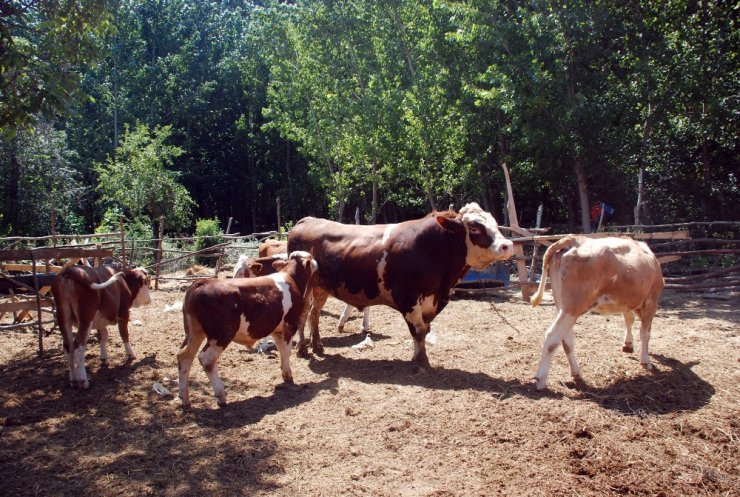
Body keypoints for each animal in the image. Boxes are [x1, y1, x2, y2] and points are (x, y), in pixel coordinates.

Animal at [180, 250, 320, 404]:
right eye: (310, 258)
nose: (317, 262)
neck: (291, 278)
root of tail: (202, 282)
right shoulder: (290, 324)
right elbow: (287, 350)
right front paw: (288, 375)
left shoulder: (276, 330)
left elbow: (281, 350)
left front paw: (285, 372)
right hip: (220, 335)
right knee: (206, 359)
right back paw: (221, 395)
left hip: (194, 332)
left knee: (184, 357)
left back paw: (185, 399)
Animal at [290, 202, 516, 368]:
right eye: (475, 227)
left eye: (495, 223)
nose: (508, 245)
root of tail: (307, 220)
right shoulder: (408, 297)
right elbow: (419, 330)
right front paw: (422, 362)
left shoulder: (432, 299)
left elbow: (425, 329)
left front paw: (417, 357)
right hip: (305, 287)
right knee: (303, 314)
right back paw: (302, 348)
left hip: (321, 286)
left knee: (314, 313)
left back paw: (318, 346)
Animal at [532, 234, 664, 390]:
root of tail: (574, 239)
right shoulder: (652, 299)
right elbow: (645, 333)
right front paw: (645, 361)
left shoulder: (627, 302)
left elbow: (629, 319)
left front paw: (628, 344)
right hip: (574, 306)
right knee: (552, 336)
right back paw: (541, 379)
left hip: (562, 305)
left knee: (566, 339)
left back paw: (576, 373)